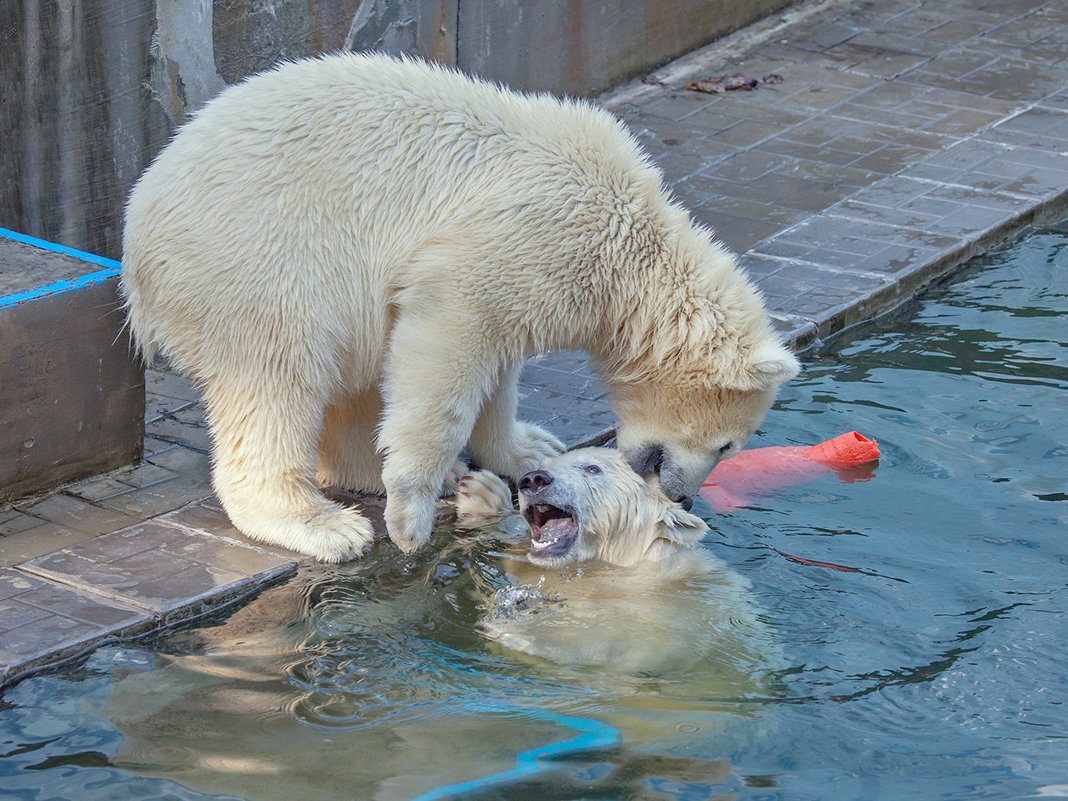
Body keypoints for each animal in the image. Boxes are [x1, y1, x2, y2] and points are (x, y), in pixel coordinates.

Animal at [121, 51, 798, 563]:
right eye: (729, 444)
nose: (684, 499)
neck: (632, 248)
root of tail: (137, 239)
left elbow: (497, 365)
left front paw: (531, 450)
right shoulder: (526, 240)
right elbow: (448, 344)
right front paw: (409, 516)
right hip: (261, 262)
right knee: (279, 377)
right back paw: (323, 523)